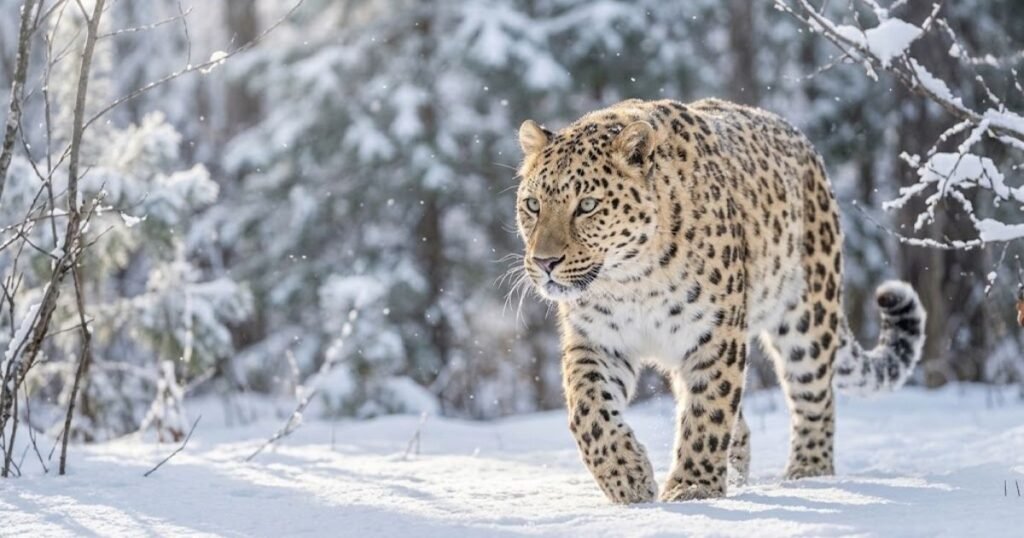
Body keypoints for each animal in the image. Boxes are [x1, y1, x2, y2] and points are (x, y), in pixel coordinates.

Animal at [514, 98, 926, 504]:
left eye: (587, 205)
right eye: (533, 205)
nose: (544, 262)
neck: (631, 280)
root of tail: (803, 143)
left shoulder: (715, 332)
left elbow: (709, 409)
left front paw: (693, 487)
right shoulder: (597, 340)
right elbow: (588, 411)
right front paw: (627, 478)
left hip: (809, 314)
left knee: (814, 398)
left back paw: (809, 474)